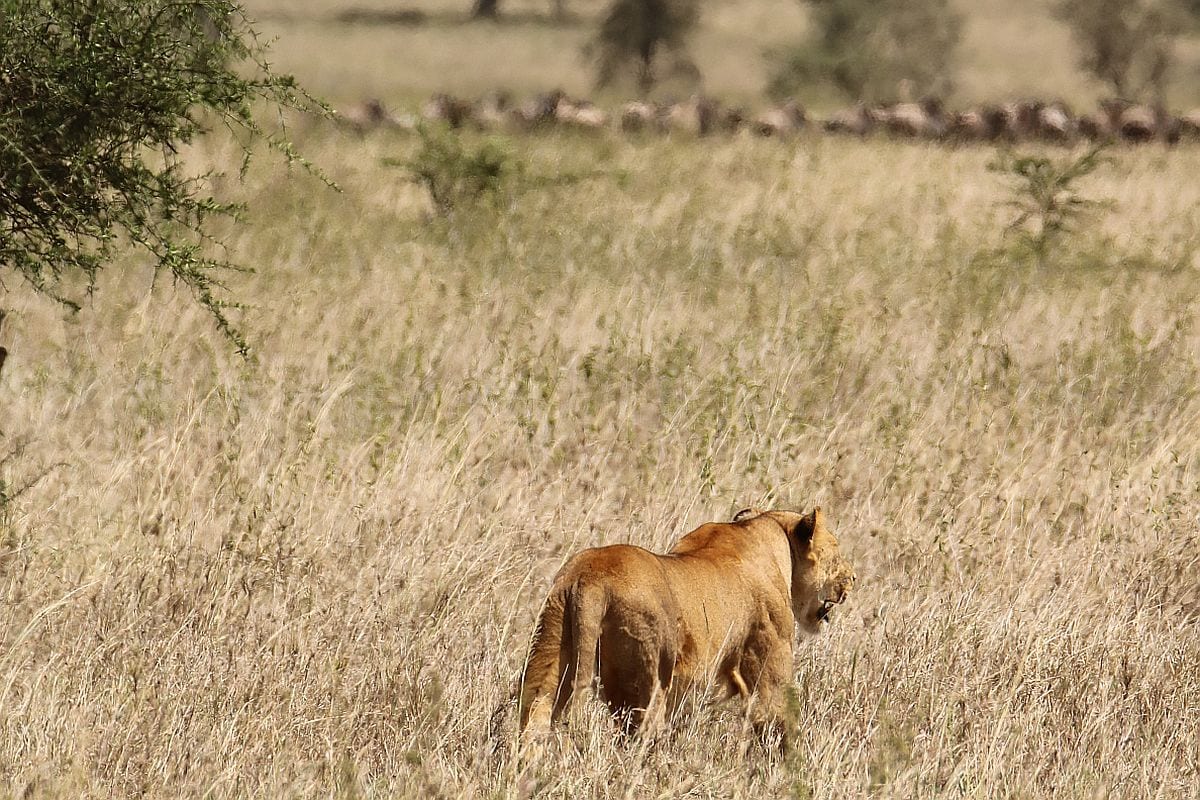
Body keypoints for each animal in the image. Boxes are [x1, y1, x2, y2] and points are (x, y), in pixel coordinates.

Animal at [515, 507, 855, 741]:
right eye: (837, 551)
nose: (853, 578)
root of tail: (591, 577)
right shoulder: (768, 666)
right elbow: (777, 724)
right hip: (646, 685)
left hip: (549, 655)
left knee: (534, 721)